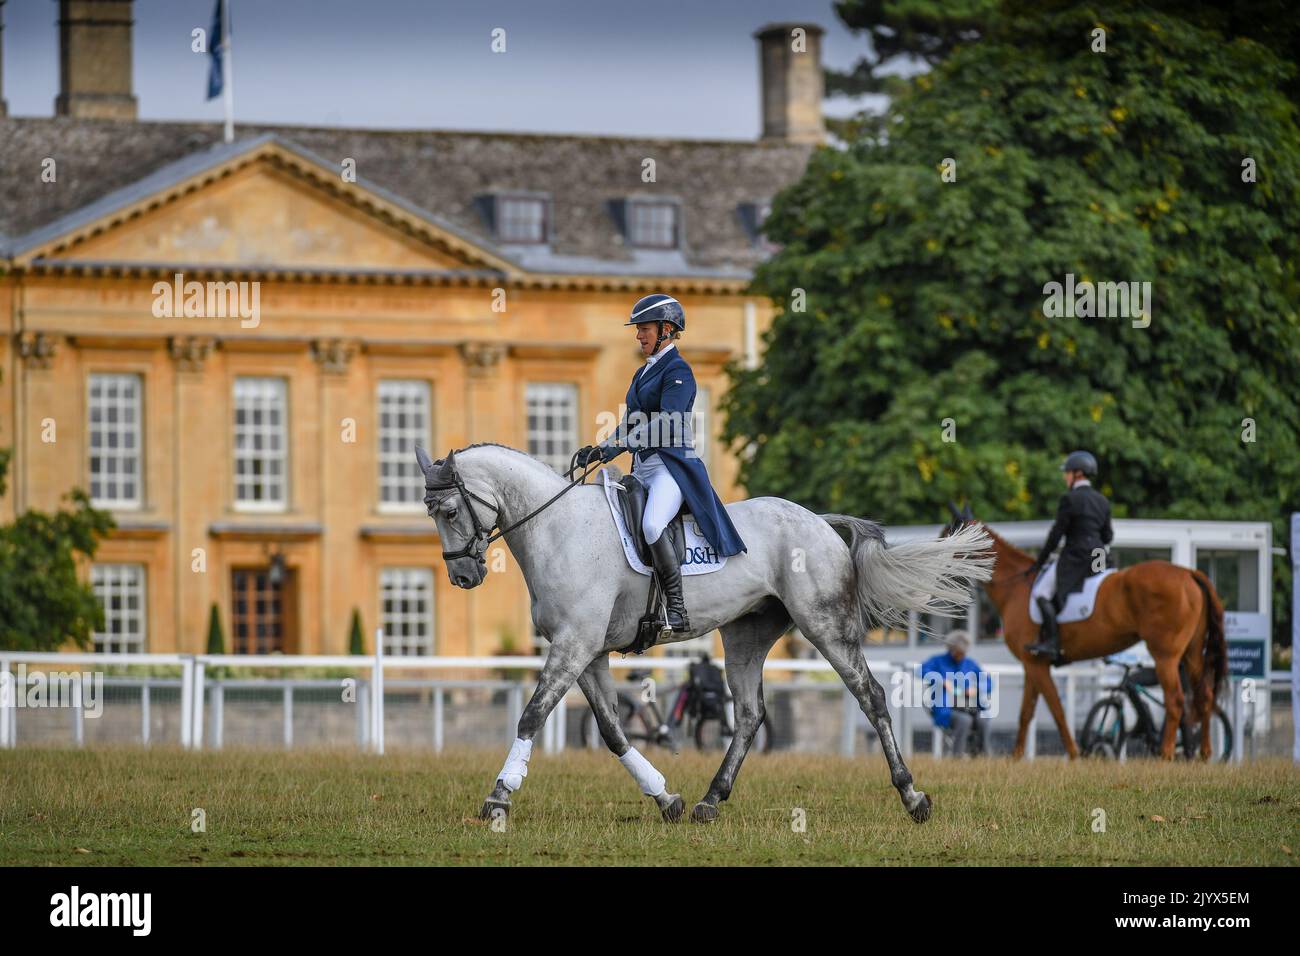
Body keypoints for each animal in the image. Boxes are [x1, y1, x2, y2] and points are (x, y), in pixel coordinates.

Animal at [416, 444, 993, 827]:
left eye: (449, 510)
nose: (463, 576)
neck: (559, 529)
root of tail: (819, 521)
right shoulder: (587, 652)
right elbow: (613, 731)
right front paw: (664, 798)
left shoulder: (575, 644)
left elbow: (532, 714)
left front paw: (499, 797)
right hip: (745, 636)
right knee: (750, 714)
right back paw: (709, 800)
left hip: (826, 625)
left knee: (870, 696)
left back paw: (913, 798)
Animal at [946, 504, 1227, 759]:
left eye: (949, 533)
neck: (1015, 587)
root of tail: (1189, 573)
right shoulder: (1032, 664)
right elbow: (1027, 712)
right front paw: (1016, 757)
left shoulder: (1035, 663)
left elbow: (1056, 709)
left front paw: (1073, 754)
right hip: (1191, 654)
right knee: (1203, 696)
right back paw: (1204, 753)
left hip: (1165, 656)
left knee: (1176, 700)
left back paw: (1166, 753)